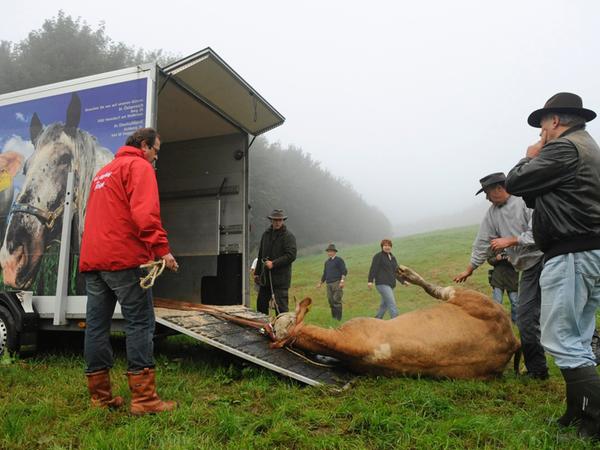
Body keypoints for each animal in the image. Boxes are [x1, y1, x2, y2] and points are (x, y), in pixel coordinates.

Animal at [272, 266, 520, 378]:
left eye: (283, 319)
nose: (272, 320)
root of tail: (512, 340)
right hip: (471, 299)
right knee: (437, 290)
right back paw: (406, 273)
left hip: (469, 296)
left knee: (437, 289)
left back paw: (406, 273)